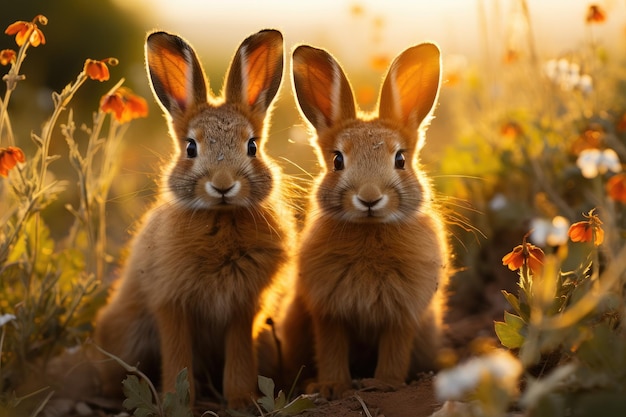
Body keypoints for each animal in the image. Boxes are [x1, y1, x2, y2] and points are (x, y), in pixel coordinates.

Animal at [92, 30, 294, 410]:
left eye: (252, 146)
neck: (221, 218)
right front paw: (178, 402)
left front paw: (241, 400)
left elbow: (239, 355)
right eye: (190, 148)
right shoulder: (170, 302)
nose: (223, 185)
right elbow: (177, 356)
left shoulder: (244, 308)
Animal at [280, 43, 448, 400]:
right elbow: (331, 348)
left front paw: (384, 384)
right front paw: (331, 387)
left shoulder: (403, 312)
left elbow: (394, 349)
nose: (369, 198)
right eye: (337, 161)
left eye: (400, 159)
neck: (371, 233)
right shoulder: (328, 310)